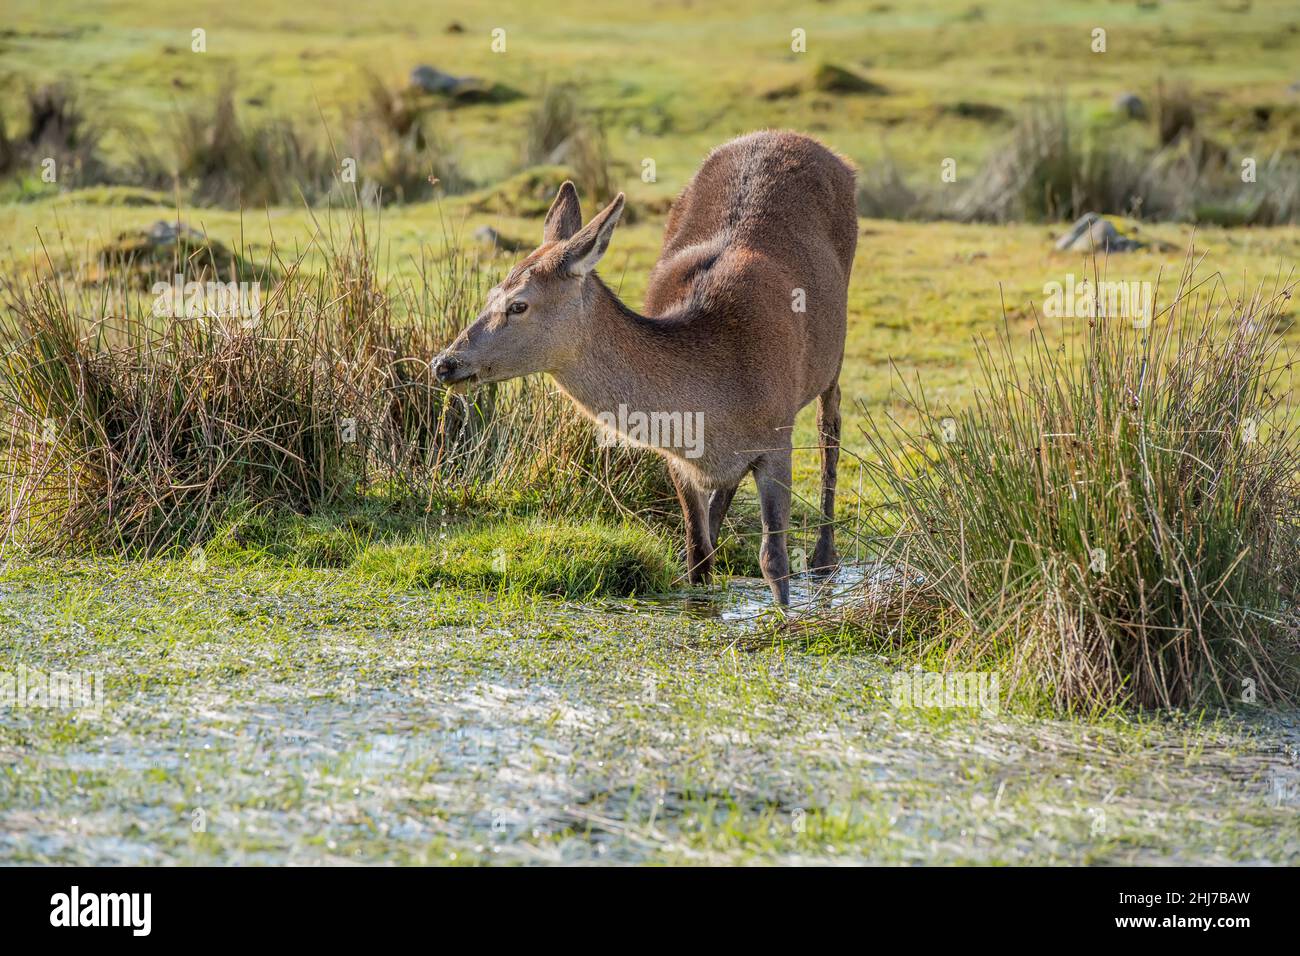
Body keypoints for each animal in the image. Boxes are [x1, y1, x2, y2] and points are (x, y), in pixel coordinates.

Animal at [433, 130, 857, 604]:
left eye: (518, 304)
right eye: (490, 293)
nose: (444, 363)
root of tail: (807, 142)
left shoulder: (778, 438)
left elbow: (775, 563)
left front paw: (786, 612)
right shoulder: (676, 457)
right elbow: (697, 558)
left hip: (834, 354)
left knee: (830, 425)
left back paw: (824, 558)